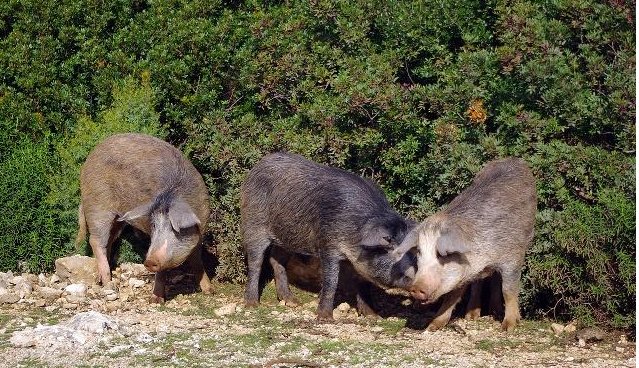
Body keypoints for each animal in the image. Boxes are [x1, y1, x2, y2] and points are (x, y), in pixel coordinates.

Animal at [75, 132, 214, 302]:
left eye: (176, 229)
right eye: (153, 226)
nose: (149, 261)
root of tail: (90, 156)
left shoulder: (202, 231)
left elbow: (197, 260)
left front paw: (210, 291)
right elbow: (162, 271)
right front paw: (156, 300)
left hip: (117, 218)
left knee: (109, 241)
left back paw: (99, 280)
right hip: (97, 205)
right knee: (95, 241)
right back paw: (108, 284)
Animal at [239, 152, 416, 320]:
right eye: (393, 249)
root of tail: (257, 166)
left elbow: (363, 284)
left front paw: (373, 316)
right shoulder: (327, 244)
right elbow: (331, 281)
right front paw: (325, 317)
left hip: (287, 237)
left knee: (276, 260)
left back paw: (293, 302)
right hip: (254, 223)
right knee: (256, 262)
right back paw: (252, 305)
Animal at [396, 157, 536, 332]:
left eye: (442, 254)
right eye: (419, 252)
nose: (415, 288)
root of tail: (513, 159)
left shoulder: (513, 256)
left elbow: (508, 290)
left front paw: (508, 327)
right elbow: (452, 296)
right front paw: (432, 326)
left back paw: (495, 313)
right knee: (479, 283)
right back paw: (471, 316)